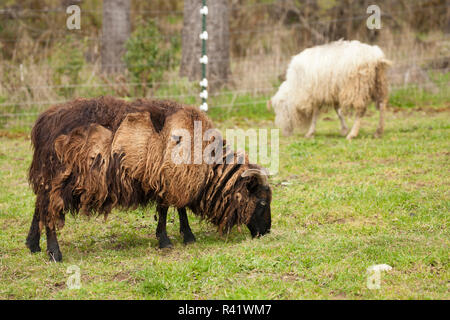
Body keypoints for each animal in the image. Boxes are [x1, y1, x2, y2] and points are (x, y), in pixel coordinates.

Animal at [29, 96, 274, 262]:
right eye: (262, 202)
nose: (267, 232)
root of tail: (43, 123)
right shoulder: (170, 178)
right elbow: (166, 210)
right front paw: (166, 241)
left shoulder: (175, 179)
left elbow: (179, 208)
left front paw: (187, 236)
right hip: (57, 180)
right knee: (49, 213)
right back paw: (54, 253)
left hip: (46, 179)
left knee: (39, 207)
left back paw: (32, 245)